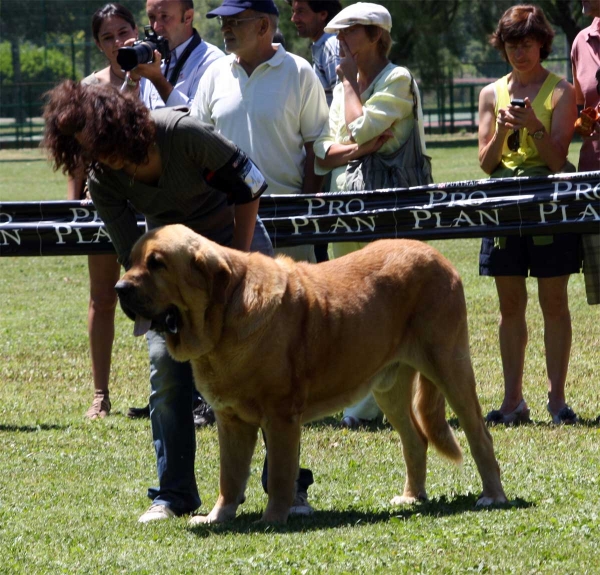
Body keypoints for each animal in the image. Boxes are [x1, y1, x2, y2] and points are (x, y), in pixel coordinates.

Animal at [116, 225, 506, 528]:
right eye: (131, 261)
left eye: (157, 264)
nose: (120, 289)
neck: (223, 319)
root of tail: (437, 256)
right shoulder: (231, 421)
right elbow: (230, 477)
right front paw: (217, 517)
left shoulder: (280, 417)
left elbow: (280, 474)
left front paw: (273, 519)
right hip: (390, 386)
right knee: (415, 440)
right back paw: (412, 497)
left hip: (450, 367)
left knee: (479, 435)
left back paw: (493, 496)